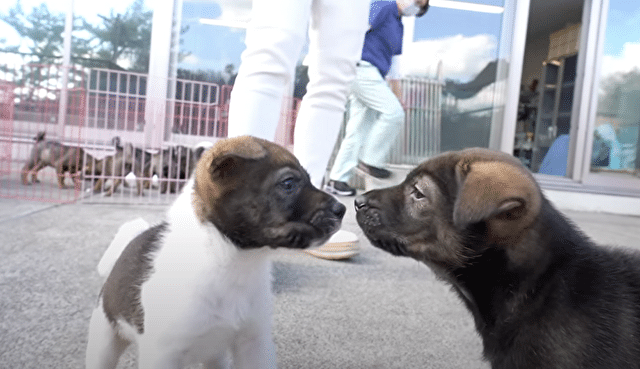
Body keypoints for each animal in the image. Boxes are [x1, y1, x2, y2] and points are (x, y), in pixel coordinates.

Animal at [86, 136, 344, 368]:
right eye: (289, 184)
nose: (341, 209)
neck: (233, 259)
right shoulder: (164, 354)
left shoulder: (254, 343)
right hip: (105, 341)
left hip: (214, 356)